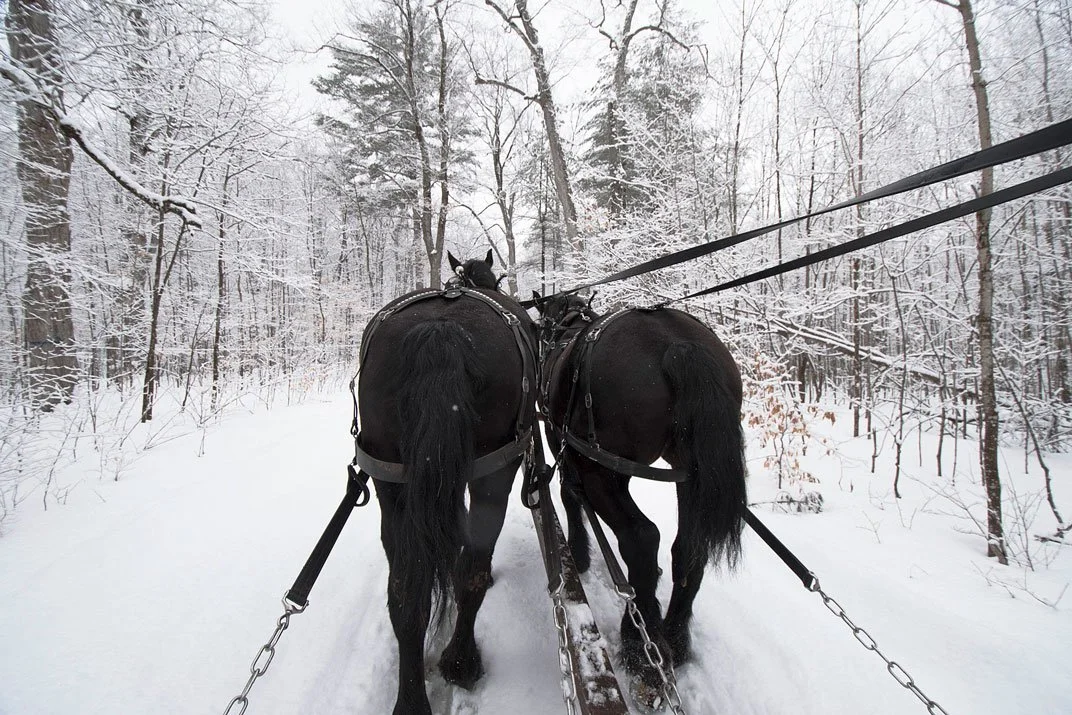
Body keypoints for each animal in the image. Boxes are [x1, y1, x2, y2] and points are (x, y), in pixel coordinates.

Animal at [356, 251, 536, 715]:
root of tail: (441, 330)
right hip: (495, 471)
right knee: (472, 571)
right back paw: (461, 661)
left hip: (390, 481)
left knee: (405, 592)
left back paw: (412, 699)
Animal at [533, 292, 747, 691]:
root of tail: (678, 345)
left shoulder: (566, 448)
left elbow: (570, 497)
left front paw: (579, 554)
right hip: (688, 472)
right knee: (688, 548)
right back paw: (675, 637)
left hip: (599, 468)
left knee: (641, 538)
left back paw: (642, 645)